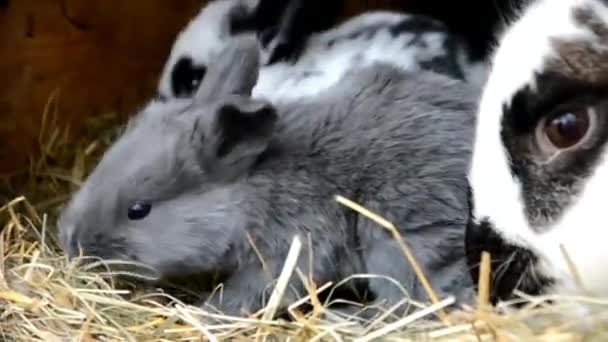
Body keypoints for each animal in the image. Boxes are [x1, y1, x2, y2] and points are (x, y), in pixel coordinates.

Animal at [60, 35, 480, 318]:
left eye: (139, 210)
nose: (68, 240)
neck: (255, 193)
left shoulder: (286, 255)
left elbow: (245, 293)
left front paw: (205, 312)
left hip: (403, 247)